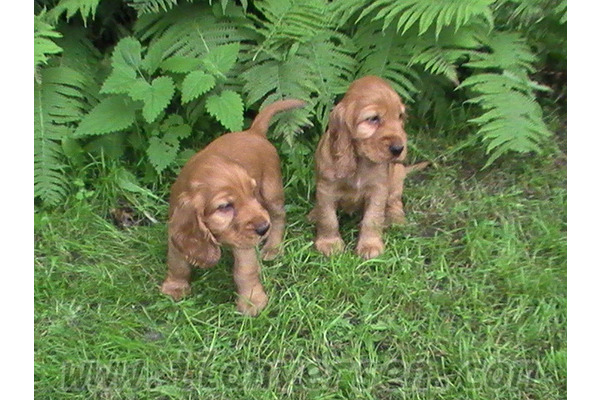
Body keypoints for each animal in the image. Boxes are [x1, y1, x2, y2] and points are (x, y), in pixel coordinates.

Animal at [161, 99, 304, 316]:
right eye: (225, 206)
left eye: (252, 193)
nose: (263, 228)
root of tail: (253, 132)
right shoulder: (176, 229)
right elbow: (177, 263)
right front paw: (175, 287)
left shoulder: (244, 241)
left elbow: (245, 270)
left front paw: (252, 301)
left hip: (272, 192)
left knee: (279, 217)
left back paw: (273, 247)